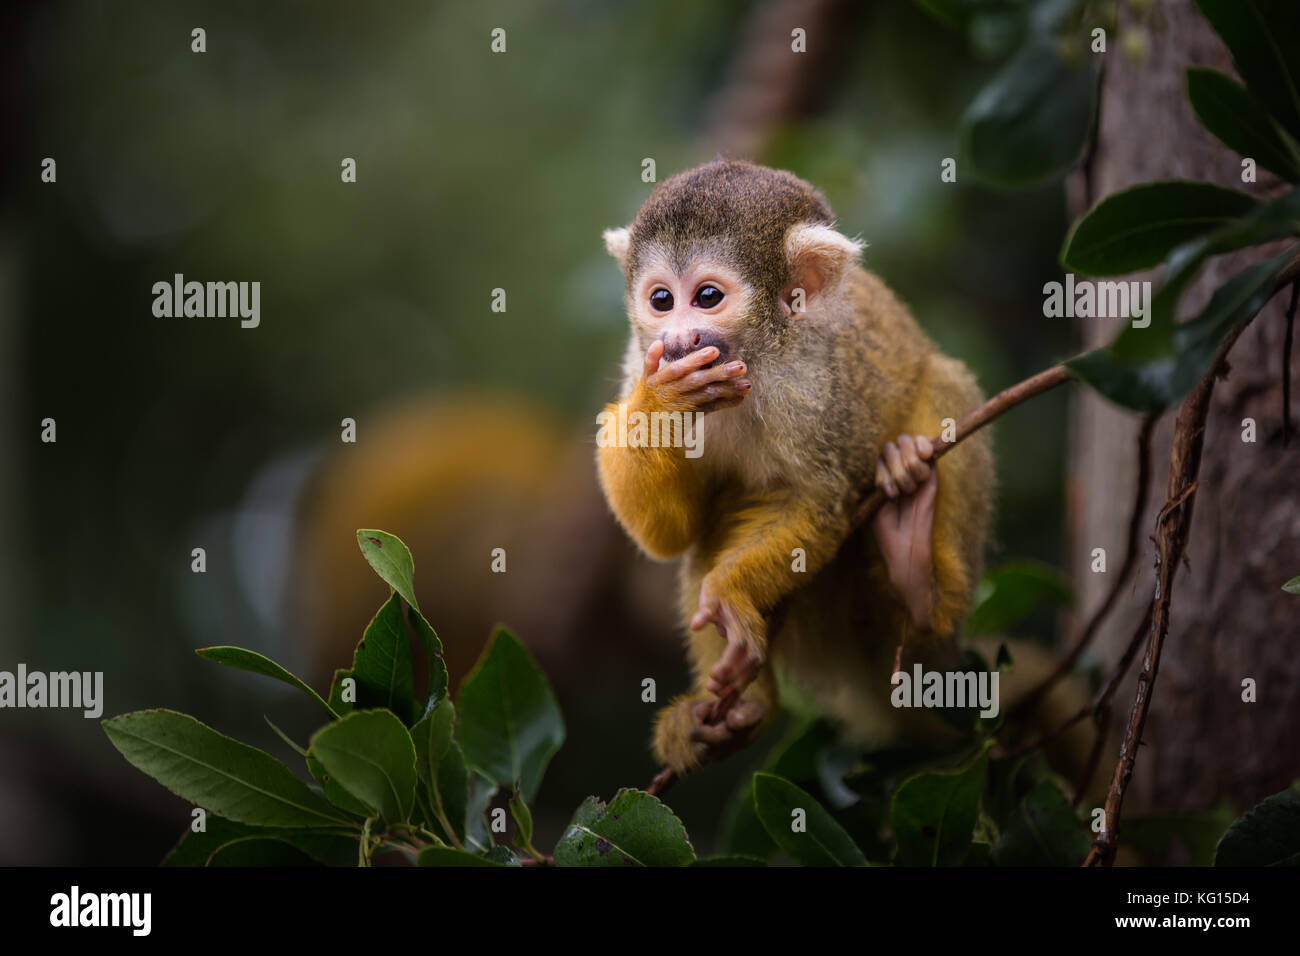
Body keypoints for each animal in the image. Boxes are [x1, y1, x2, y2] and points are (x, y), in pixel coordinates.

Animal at [598, 160, 993, 775]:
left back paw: (919, 577)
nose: (679, 337)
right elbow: (669, 535)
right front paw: (664, 403)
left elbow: (818, 502)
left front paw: (729, 591)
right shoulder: (640, 362)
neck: (756, 363)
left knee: (945, 384)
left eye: (706, 297)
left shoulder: (817, 386)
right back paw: (732, 712)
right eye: (661, 300)